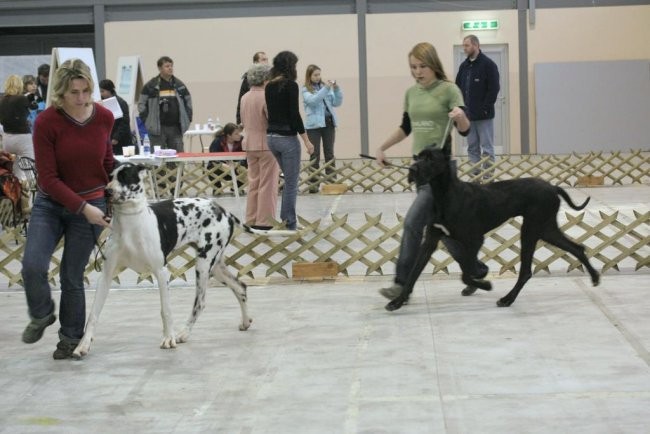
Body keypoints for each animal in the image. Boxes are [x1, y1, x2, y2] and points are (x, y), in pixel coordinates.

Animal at [73, 163, 292, 360]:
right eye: (110, 177)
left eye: (126, 177)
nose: (107, 192)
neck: (130, 224)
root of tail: (223, 210)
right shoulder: (107, 275)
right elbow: (93, 314)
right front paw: (83, 345)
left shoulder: (161, 273)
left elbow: (166, 310)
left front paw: (168, 339)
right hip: (215, 266)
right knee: (240, 287)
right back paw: (245, 322)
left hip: (203, 265)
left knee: (200, 302)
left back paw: (183, 333)